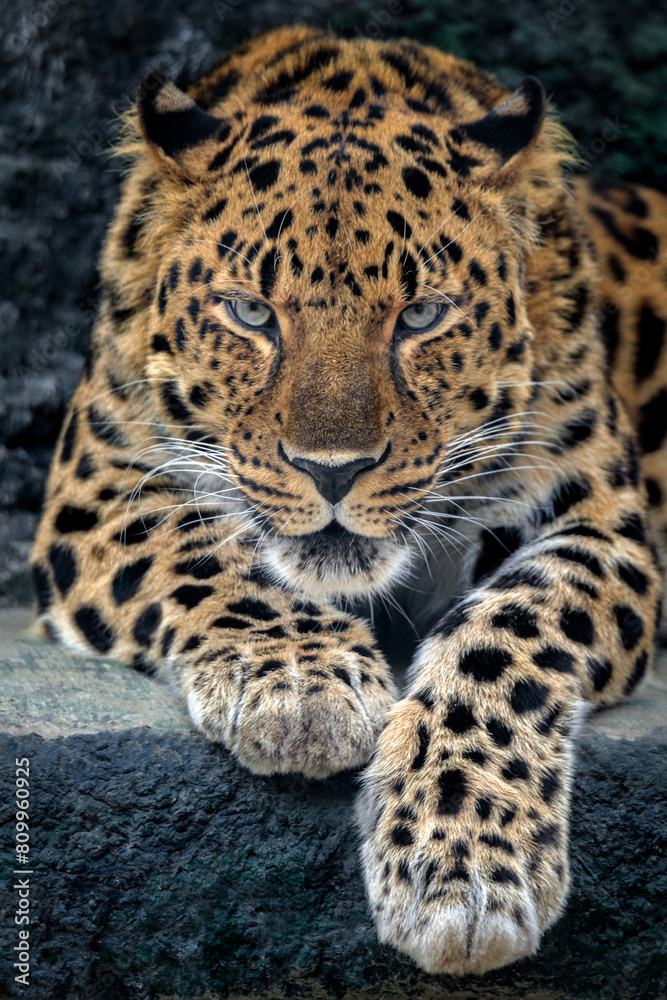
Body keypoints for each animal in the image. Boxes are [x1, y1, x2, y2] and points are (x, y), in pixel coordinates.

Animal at [30, 25, 667, 976]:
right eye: (251, 313)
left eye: (422, 315)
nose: (332, 469)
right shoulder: (97, 483)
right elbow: (194, 544)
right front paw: (303, 684)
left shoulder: (600, 517)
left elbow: (509, 634)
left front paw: (463, 866)